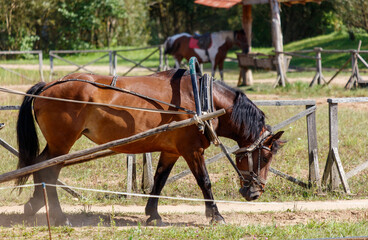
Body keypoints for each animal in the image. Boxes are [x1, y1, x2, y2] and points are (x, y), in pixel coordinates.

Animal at [15, 69, 284, 225]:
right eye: (266, 157)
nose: (255, 193)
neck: (202, 99)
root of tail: (48, 86)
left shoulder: (172, 151)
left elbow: (159, 181)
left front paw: (153, 214)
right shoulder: (192, 150)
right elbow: (205, 182)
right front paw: (215, 215)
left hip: (57, 144)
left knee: (40, 168)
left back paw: (35, 204)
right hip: (62, 143)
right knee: (48, 170)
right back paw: (59, 216)